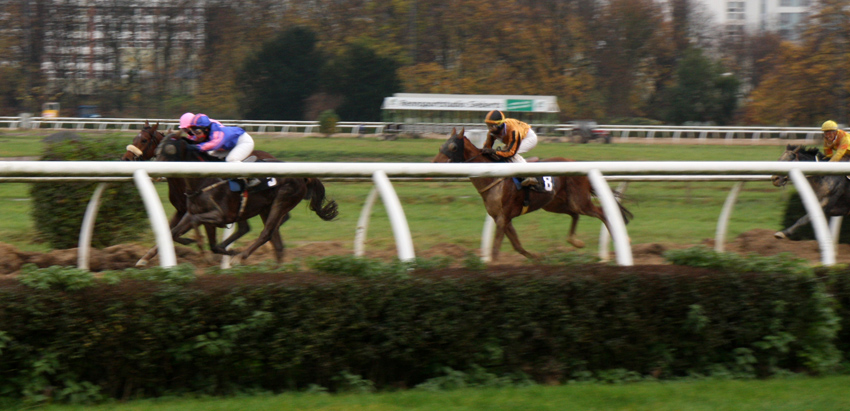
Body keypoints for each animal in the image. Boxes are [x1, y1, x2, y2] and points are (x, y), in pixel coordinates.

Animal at [157, 137, 336, 266]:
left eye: (167, 150)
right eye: (157, 149)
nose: (155, 167)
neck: (203, 180)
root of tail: (303, 177)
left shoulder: (222, 215)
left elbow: (197, 224)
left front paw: (205, 248)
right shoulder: (193, 212)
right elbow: (175, 231)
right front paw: (193, 242)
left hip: (282, 200)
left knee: (267, 233)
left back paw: (242, 256)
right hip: (264, 207)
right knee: (276, 242)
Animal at [430, 128, 628, 260]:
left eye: (453, 147)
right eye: (441, 145)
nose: (434, 165)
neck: (492, 177)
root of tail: (576, 163)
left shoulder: (503, 218)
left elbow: (496, 249)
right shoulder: (503, 218)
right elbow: (517, 245)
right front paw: (536, 258)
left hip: (579, 200)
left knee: (601, 213)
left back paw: (617, 240)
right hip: (555, 204)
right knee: (575, 214)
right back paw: (575, 241)